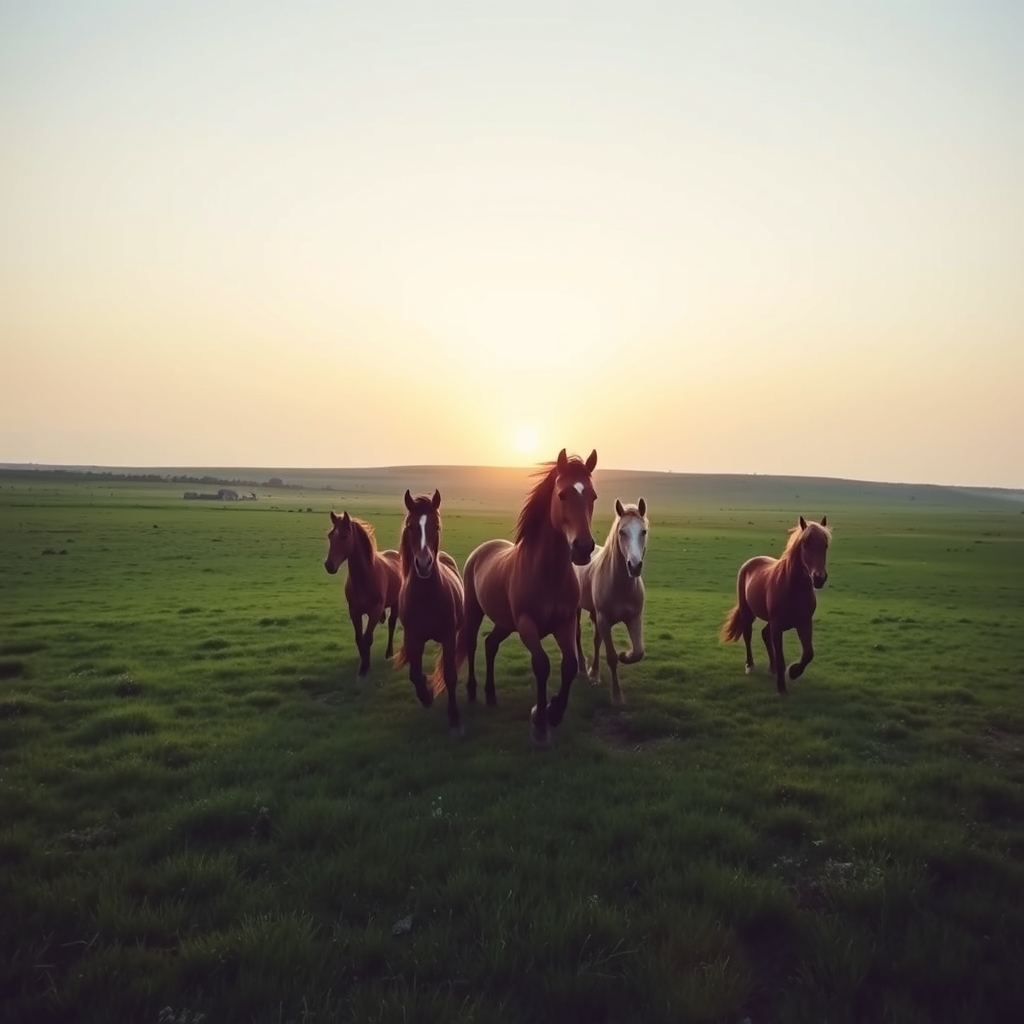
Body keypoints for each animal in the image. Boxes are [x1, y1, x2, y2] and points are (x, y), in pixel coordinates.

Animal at [323, 511, 402, 678]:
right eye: (330, 535)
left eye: (344, 535)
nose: (329, 565)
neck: (365, 578)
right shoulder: (354, 611)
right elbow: (359, 638)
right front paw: (363, 660)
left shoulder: (375, 611)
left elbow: (368, 638)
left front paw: (365, 666)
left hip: (395, 603)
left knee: (392, 625)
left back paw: (389, 653)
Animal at [392, 489, 467, 736]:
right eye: (410, 526)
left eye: (436, 526)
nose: (423, 564)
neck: (427, 596)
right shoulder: (413, 637)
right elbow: (414, 673)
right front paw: (426, 695)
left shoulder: (448, 636)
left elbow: (450, 674)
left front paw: (454, 719)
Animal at [461, 448, 598, 747]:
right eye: (562, 495)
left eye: (593, 496)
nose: (583, 548)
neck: (548, 574)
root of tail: (482, 550)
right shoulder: (527, 625)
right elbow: (542, 665)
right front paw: (540, 722)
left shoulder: (565, 623)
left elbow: (569, 665)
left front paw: (553, 711)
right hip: (475, 613)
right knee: (472, 644)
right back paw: (473, 691)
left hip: (504, 623)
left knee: (490, 644)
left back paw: (491, 695)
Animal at [575, 497, 649, 702]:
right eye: (622, 532)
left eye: (643, 531)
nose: (634, 566)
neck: (620, 585)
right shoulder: (604, 620)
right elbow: (611, 657)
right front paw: (616, 695)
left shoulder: (634, 619)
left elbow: (638, 652)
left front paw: (626, 655)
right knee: (577, 636)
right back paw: (582, 668)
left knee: (596, 640)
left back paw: (594, 673)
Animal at [720, 516, 831, 694]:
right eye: (805, 544)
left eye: (825, 545)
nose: (819, 578)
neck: (792, 588)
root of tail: (750, 562)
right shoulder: (778, 625)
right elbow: (780, 656)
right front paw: (781, 687)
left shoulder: (804, 623)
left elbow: (808, 653)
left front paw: (793, 672)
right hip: (747, 612)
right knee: (748, 635)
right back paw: (750, 666)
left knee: (765, 634)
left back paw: (771, 669)